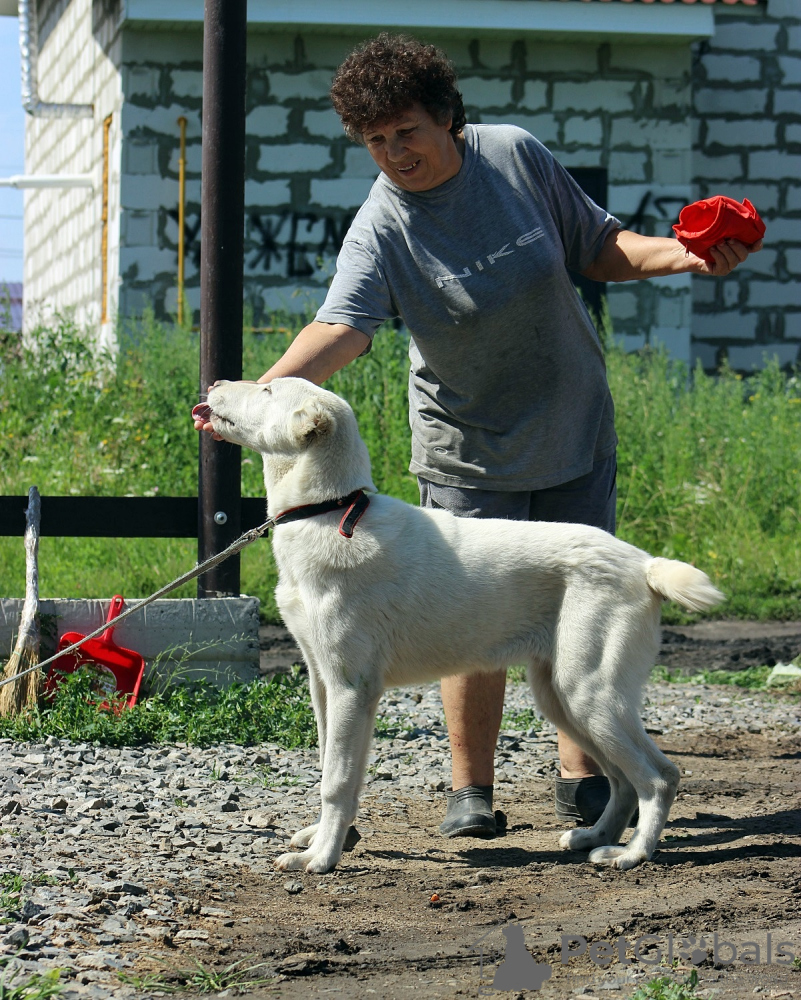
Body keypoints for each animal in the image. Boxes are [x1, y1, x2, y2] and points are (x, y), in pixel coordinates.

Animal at [203, 378, 720, 872]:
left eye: (268, 389)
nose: (213, 386)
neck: (327, 510)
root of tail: (643, 563)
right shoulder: (322, 684)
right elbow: (329, 765)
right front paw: (323, 839)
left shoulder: (352, 688)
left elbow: (337, 780)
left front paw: (323, 858)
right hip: (562, 699)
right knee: (622, 780)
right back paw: (594, 837)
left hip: (590, 694)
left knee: (658, 777)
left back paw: (632, 854)